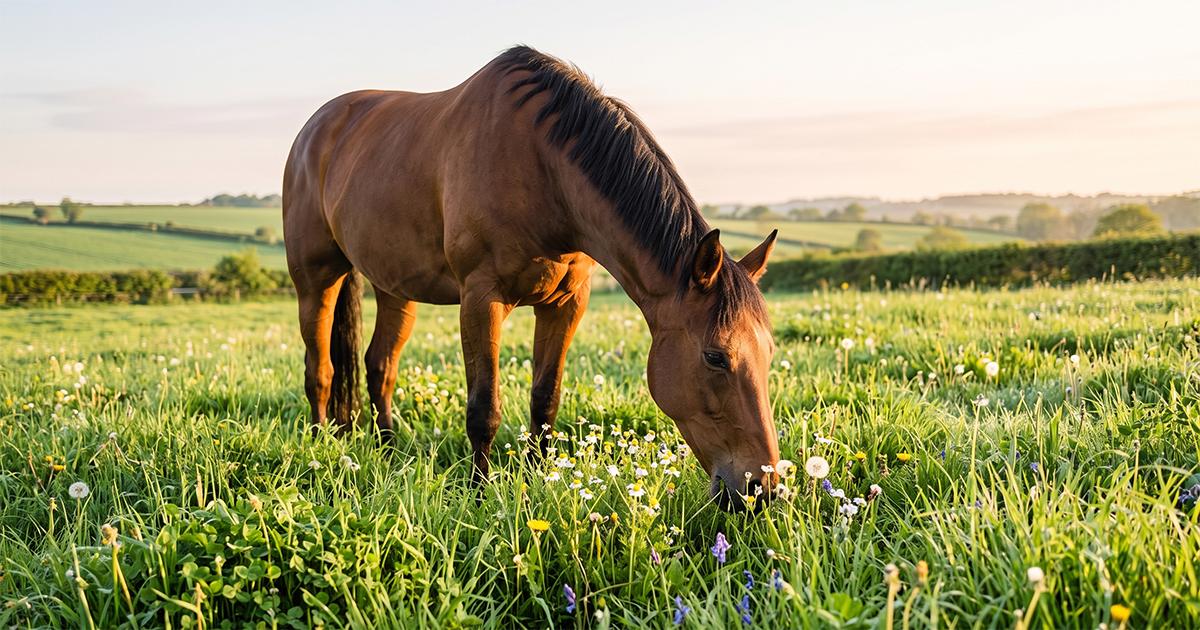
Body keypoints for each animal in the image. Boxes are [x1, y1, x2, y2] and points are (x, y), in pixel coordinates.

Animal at [283, 46, 780, 509]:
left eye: (769, 352)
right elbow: (484, 408)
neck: (542, 170)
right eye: (715, 357)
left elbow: (545, 399)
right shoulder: (481, 299)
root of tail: (317, 128)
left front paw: (543, 477)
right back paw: (321, 446)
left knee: (379, 365)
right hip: (316, 281)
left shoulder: (566, 303)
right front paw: (479, 494)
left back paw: (388, 452)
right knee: (320, 369)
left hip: (393, 287)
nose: (763, 489)